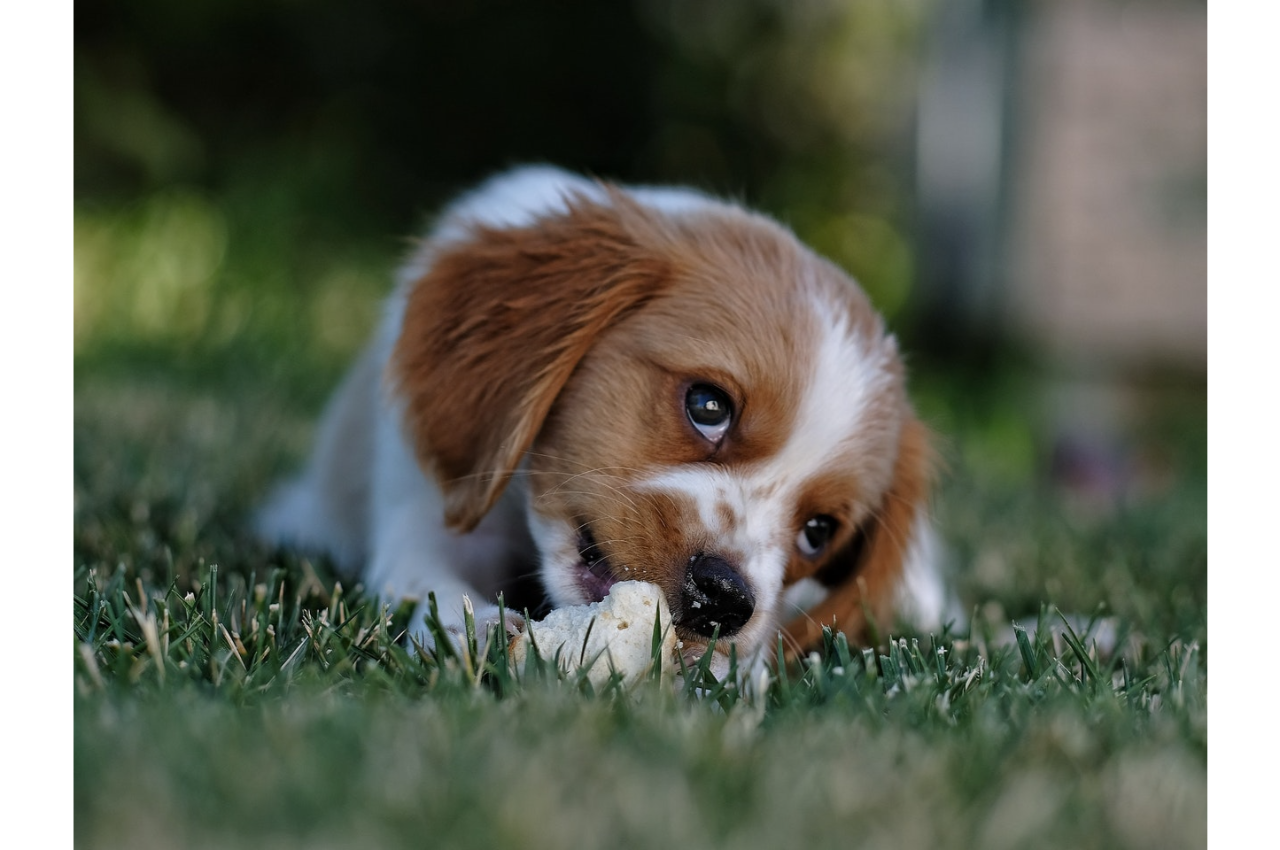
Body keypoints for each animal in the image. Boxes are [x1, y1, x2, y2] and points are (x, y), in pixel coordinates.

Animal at [257, 163, 952, 665]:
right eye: (707, 405)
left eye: (818, 532)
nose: (725, 601)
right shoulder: (426, 510)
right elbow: (430, 583)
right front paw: (480, 629)